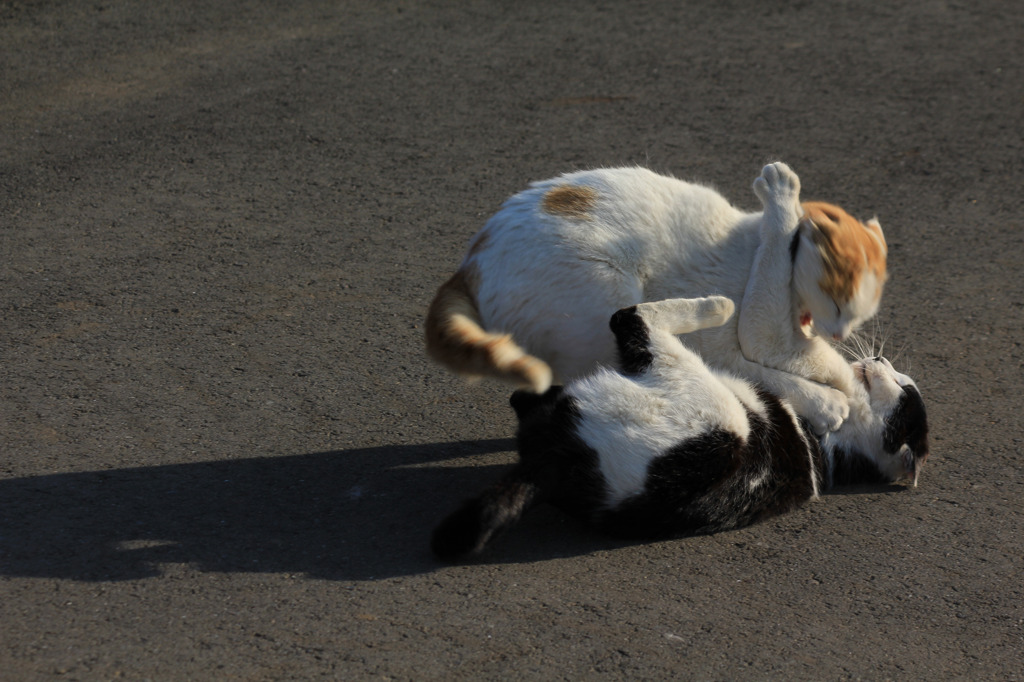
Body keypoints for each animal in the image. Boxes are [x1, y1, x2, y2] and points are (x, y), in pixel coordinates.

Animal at [423, 161, 888, 432]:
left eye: (859, 318)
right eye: (839, 306)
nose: (840, 335)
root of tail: (471, 261)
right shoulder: (753, 335)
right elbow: (775, 365)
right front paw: (829, 401)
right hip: (605, 297)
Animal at [432, 294, 929, 561]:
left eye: (906, 389)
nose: (881, 358)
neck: (825, 451)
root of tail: (553, 461)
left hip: (712, 408)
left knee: (632, 317)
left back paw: (718, 305)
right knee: (529, 396)